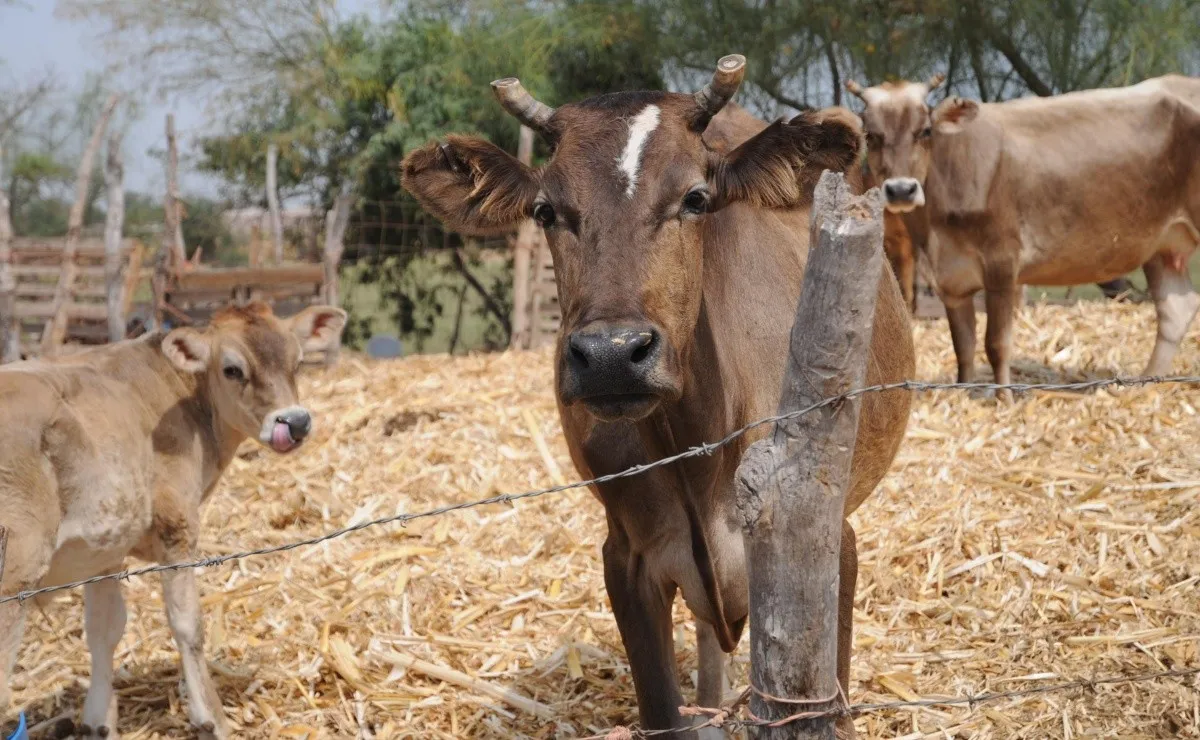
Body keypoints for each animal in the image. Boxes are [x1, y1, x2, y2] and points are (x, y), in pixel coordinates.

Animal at [1, 301, 348, 738]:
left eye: (298, 362)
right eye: (232, 369)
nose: (295, 422)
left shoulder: (103, 548)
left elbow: (104, 630)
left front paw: (98, 720)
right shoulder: (177, 525)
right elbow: (187, 624)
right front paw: (211, 717)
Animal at [398, 54, 912, 734]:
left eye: (695, 198)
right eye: (545, 211)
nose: (611, 354)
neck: (699, 448)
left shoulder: (834, 545)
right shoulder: (628, 558)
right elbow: (664, 711)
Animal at [854, 73, 1200, 386]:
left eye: (925, 131)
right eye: (871, 135)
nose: (901, 190)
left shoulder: (1002, 263)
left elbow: (996, 343)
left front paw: (1003, 398)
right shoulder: (951, 281)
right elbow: (963, 346)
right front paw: (964, 389)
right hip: (1162, 244)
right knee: (1176, 312)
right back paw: (1146, 382)